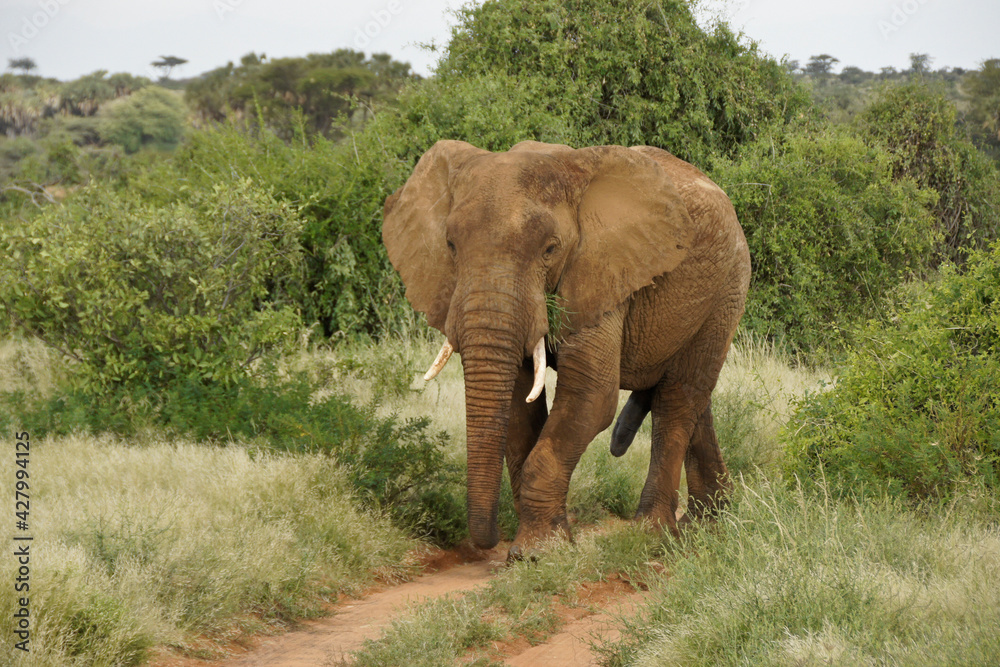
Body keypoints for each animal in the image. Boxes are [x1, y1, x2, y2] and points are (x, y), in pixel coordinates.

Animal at [382, 139, 750, 560]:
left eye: (550, 249)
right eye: (450, 246)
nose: (490, 541)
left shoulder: (599, 271)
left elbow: (591, 396)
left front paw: (535, 552)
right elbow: (518, 403)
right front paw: (542, 546)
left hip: (727, 288)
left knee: (678, 399)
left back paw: (653, 535)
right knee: (694, 399)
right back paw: (708, 524)